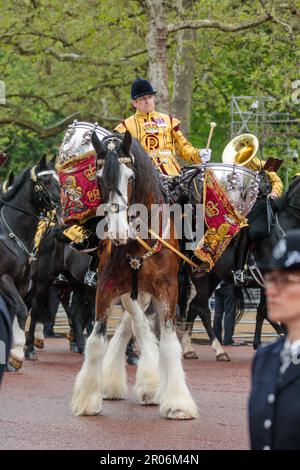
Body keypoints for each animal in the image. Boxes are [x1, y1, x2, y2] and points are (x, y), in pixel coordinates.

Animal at [0, 157, 59, 370]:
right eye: (46, 181)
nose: (61, 207)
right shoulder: (5, 279)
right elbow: (21, 310)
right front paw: (16, 354)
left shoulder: (23, 283)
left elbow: (20, 311)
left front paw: (13, 356)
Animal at [69, 130, 197, 420]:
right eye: (98, 177)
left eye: (130, 177)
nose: (117, 231)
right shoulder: (107, 288)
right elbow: (98, 340)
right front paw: (87, 399)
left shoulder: (168, 289)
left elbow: (168, 340)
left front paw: (177, 401)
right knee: (134, 322)